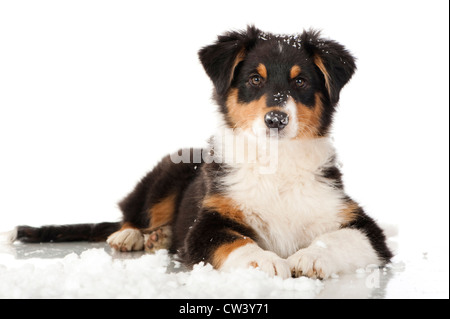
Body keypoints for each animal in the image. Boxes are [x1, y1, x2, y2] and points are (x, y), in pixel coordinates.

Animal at [12, 26, 392, 280]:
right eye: (255, 79)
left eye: (300, 82)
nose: (276, 119)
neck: (275, 163)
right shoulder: (207, 223)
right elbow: (237, 241)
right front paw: (266, 262)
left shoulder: (360, 223)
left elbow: (342, 238)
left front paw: (311, 258)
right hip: (166, 173)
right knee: (131, 213)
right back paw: (131, 235)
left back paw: (160, 237)